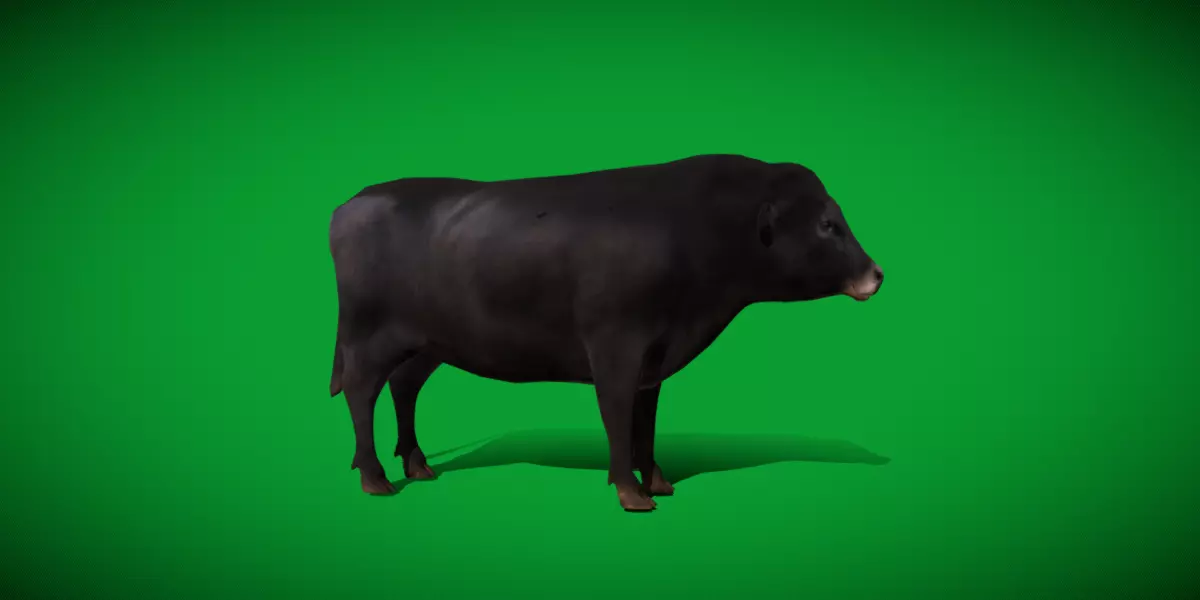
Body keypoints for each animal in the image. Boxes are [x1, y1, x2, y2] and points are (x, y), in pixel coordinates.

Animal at [327, 153, 884, 511]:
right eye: (827, 225)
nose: (876, 274)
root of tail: (352, 202)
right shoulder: (616, 345)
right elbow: (616, 415)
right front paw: (630, 492)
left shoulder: (655, 356)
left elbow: (645, 420)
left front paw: (657, 481)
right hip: (370, 335)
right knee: (361, 390)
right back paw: (376, 479)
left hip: (426, 344)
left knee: (403, 388)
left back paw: (417, 465)